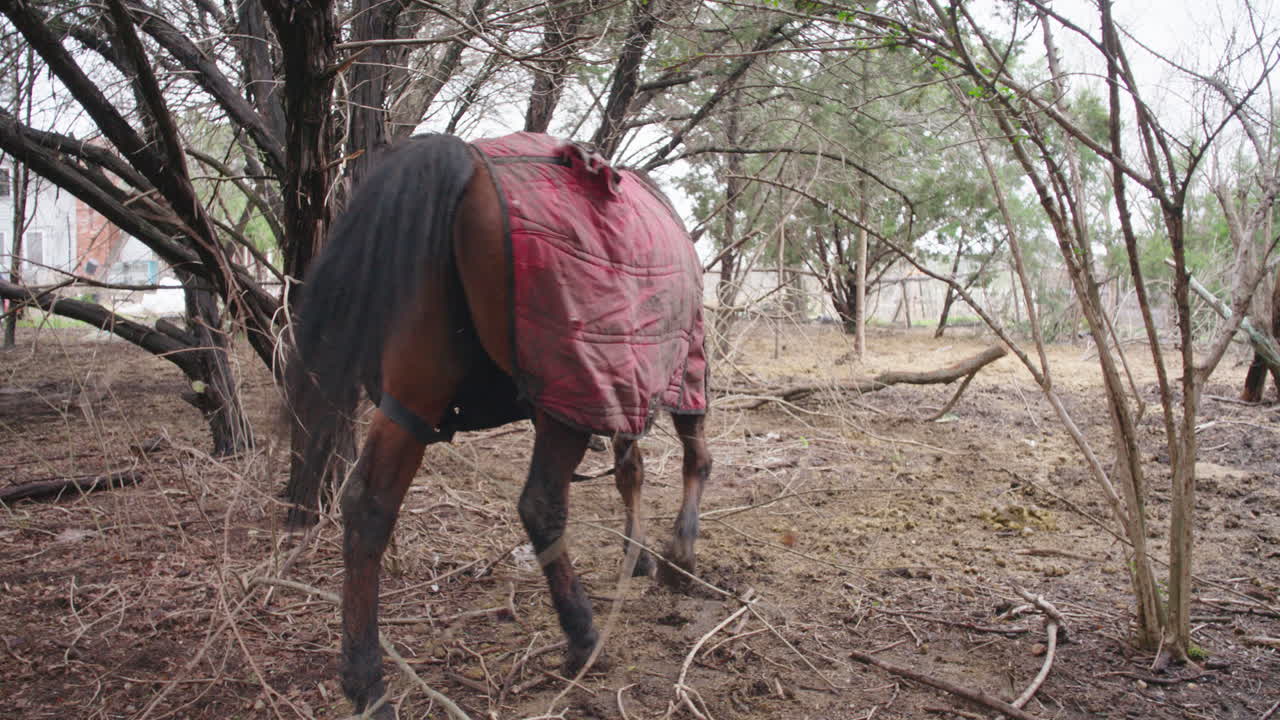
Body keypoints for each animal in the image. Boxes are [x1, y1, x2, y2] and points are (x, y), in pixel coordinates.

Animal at [286, 132, 711, 718]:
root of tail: (459, 161)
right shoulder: (670, 368)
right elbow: (695, 459)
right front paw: (678, 554)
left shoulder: (621, 383)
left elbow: (633, 471)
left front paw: (639, 555)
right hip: (566, 385)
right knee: (541, 504)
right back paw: (584, 639)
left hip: (414, 395)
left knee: (369, 505)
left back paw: (365, 680)